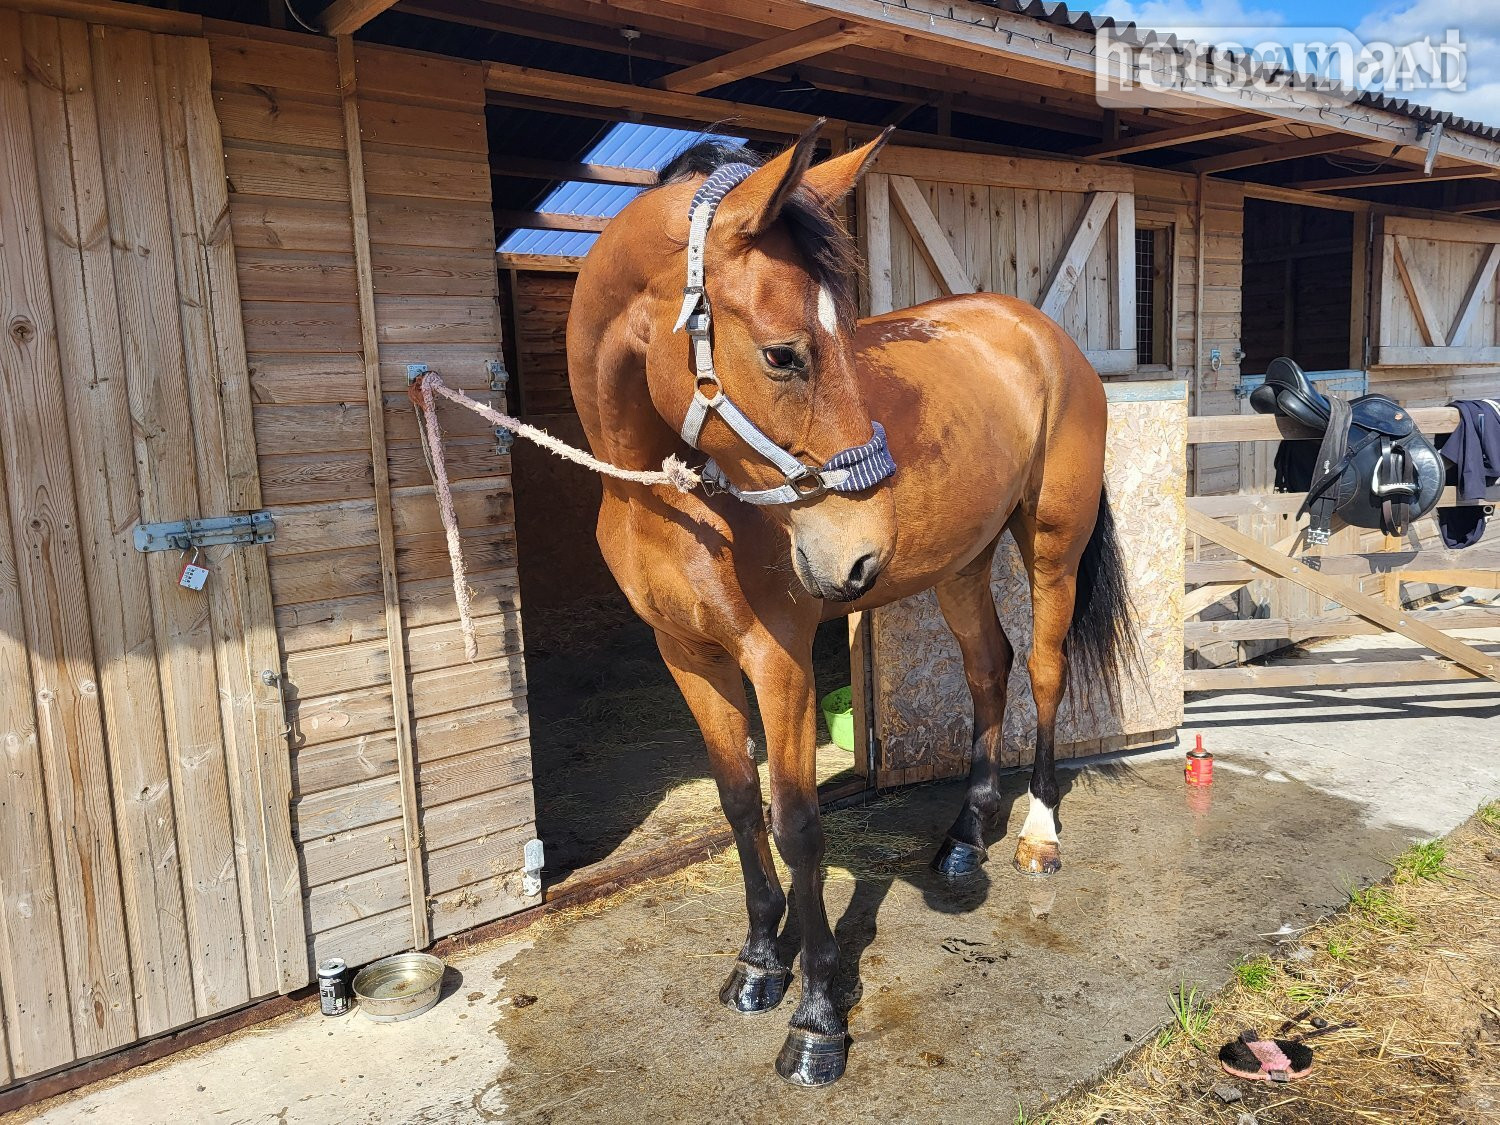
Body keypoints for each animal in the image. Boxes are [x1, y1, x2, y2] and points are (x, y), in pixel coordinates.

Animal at [565, 121, 1137, 1086]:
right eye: (784, 352)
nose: (859, 554)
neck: (670, 500)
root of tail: (1039, 332)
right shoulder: (688, 657)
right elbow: (736, 802)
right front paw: (760, 961)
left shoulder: (779, 659)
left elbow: (797, 825)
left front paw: (818, 1014)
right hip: (961, 565)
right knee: (989, 669)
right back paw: (965, 833)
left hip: (1050, 545)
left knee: (1044, 671)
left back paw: (1038, 833)